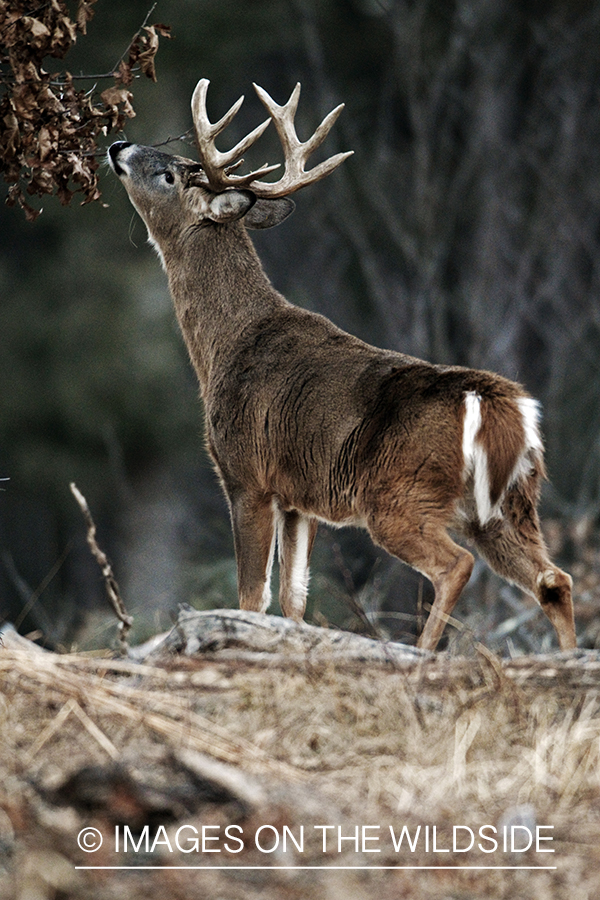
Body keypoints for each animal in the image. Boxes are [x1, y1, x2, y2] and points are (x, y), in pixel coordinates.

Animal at [109, 79, 576, 648]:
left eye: (170, 174)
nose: (118, 145)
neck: (225, 345)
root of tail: (502, 406)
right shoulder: (298, 497)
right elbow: (294, 599)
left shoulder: (246, 473)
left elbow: (251, 598)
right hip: (508, 505)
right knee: (554, 578)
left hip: (400, 494)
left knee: (456, 566)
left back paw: (423, 653)